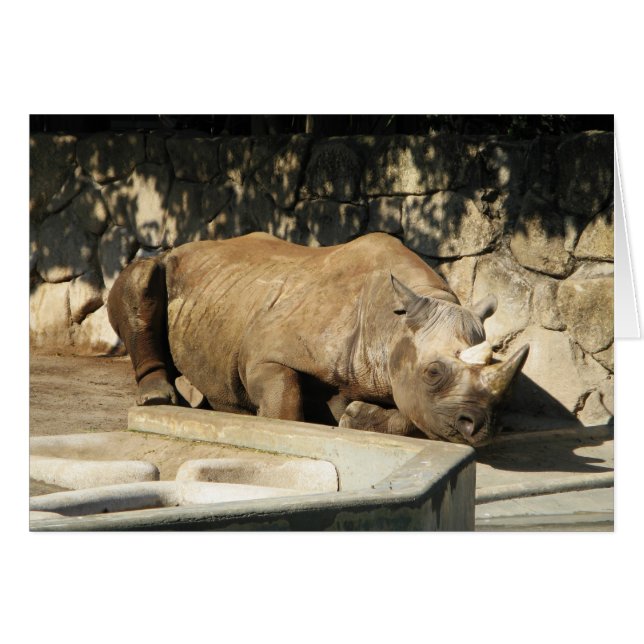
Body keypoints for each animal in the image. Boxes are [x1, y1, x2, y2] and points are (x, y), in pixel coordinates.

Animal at [107, 232, 528, 447]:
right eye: (433, 373)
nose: (481, 427)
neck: (391, 325)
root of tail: (183, 247)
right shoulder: (265, 354)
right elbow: (284, 400)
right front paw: (284, 425)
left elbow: (416, 417)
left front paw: (355, 416)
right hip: (168, 265)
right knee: (142, 276)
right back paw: (159, 399)